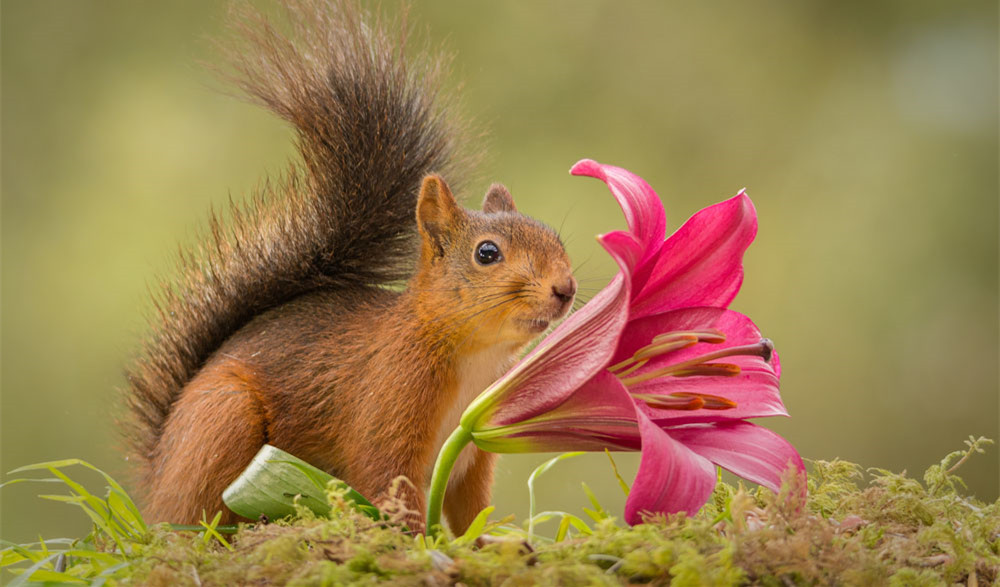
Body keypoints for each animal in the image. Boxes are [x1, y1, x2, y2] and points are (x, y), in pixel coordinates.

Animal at [123, 0, 580, 536]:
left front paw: (487, 541)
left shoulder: (471, 452)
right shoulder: (387, 406)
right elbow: (387, 484)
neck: (474, 355)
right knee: (194, 517)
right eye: (487, 254)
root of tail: (158, 471)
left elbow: (470, 509)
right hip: (224, 422)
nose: (566, 289)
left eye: (555, 238)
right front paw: (416, 543)